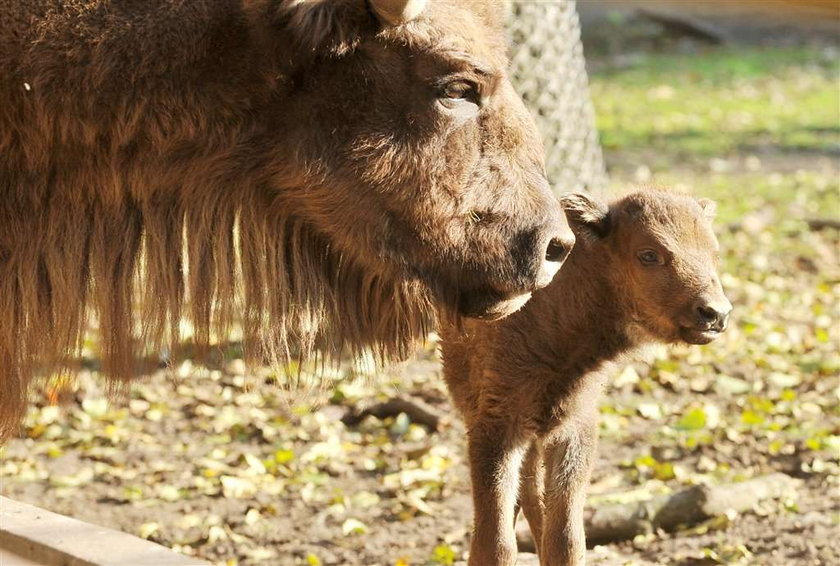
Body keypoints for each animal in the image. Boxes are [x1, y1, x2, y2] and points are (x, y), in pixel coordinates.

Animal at [442, 191, 732, 566]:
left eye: (714, 252)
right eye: (649, 254)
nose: (716, 314)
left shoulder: (574, 425)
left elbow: (566, 535)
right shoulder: (495, 425)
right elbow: (495, 540)